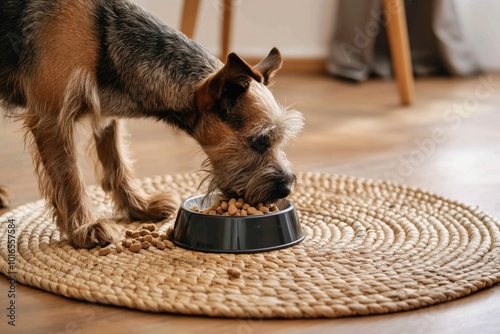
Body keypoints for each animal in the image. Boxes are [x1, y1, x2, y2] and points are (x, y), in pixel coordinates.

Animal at [0, 0, 302, 248]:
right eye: (260, 140)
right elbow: (69, 177)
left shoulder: (107, 117)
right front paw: (85, 227)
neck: (104, 38)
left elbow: (117, 164)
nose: (286, 188)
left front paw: (138, 208)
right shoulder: (52, 119)